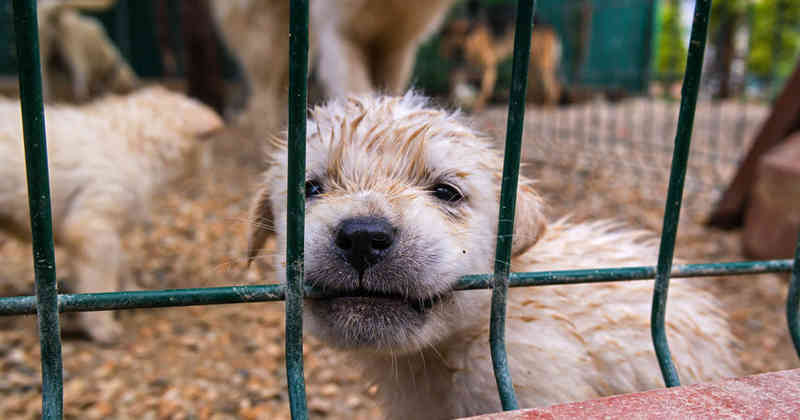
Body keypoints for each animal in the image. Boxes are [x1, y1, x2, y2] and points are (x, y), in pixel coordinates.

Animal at [2, 87, 225, 342]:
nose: (209, 168)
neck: (134, 143)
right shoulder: (92, 225)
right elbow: (100, 279)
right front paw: (103, 327)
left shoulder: (104, 230)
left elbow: (121, 261)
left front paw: (132, 294)